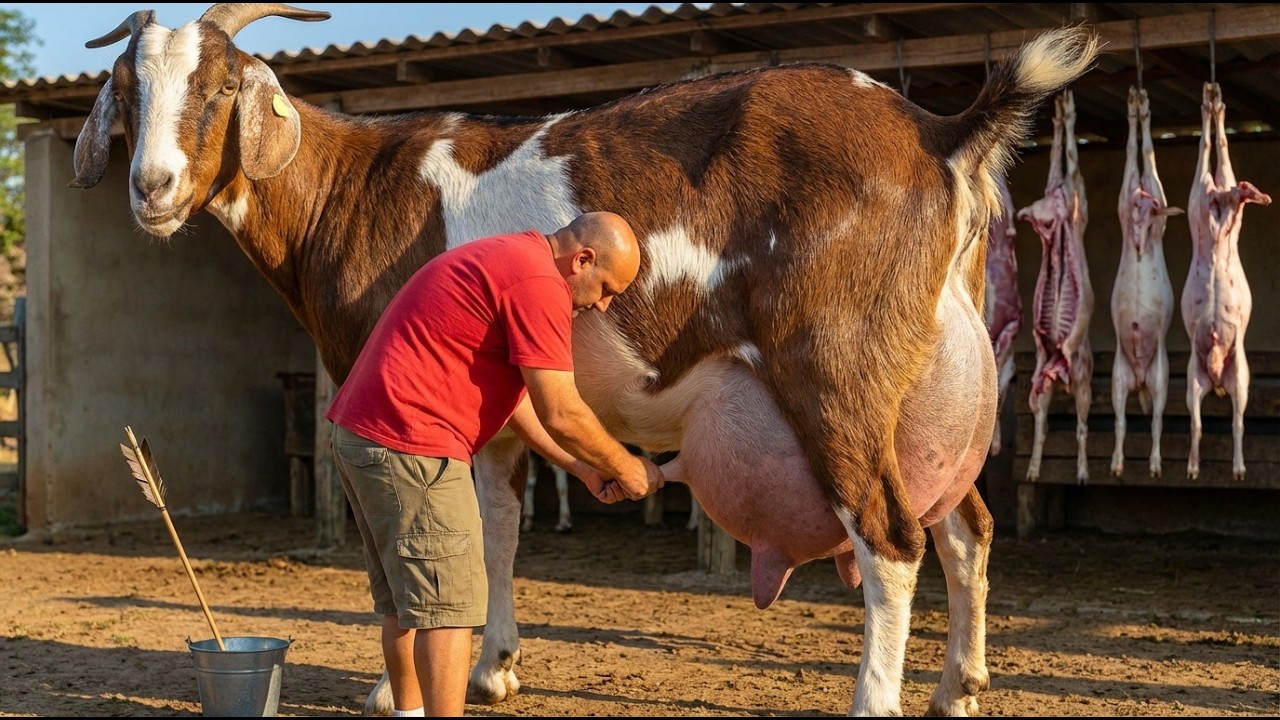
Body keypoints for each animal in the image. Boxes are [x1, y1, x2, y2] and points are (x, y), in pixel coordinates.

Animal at [72, 4, 1098, 715]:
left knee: (891, 536)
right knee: (964, 524)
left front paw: (396, 688)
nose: (152, 188)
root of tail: (937, 133)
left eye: (218, 90)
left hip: (836, 364)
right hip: (931, 380)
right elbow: (496, 529)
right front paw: (494, 669)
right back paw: (959, 687)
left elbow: (416, 546)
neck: (350, 191)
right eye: (128, 91)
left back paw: (875, 699)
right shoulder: (491, 414)